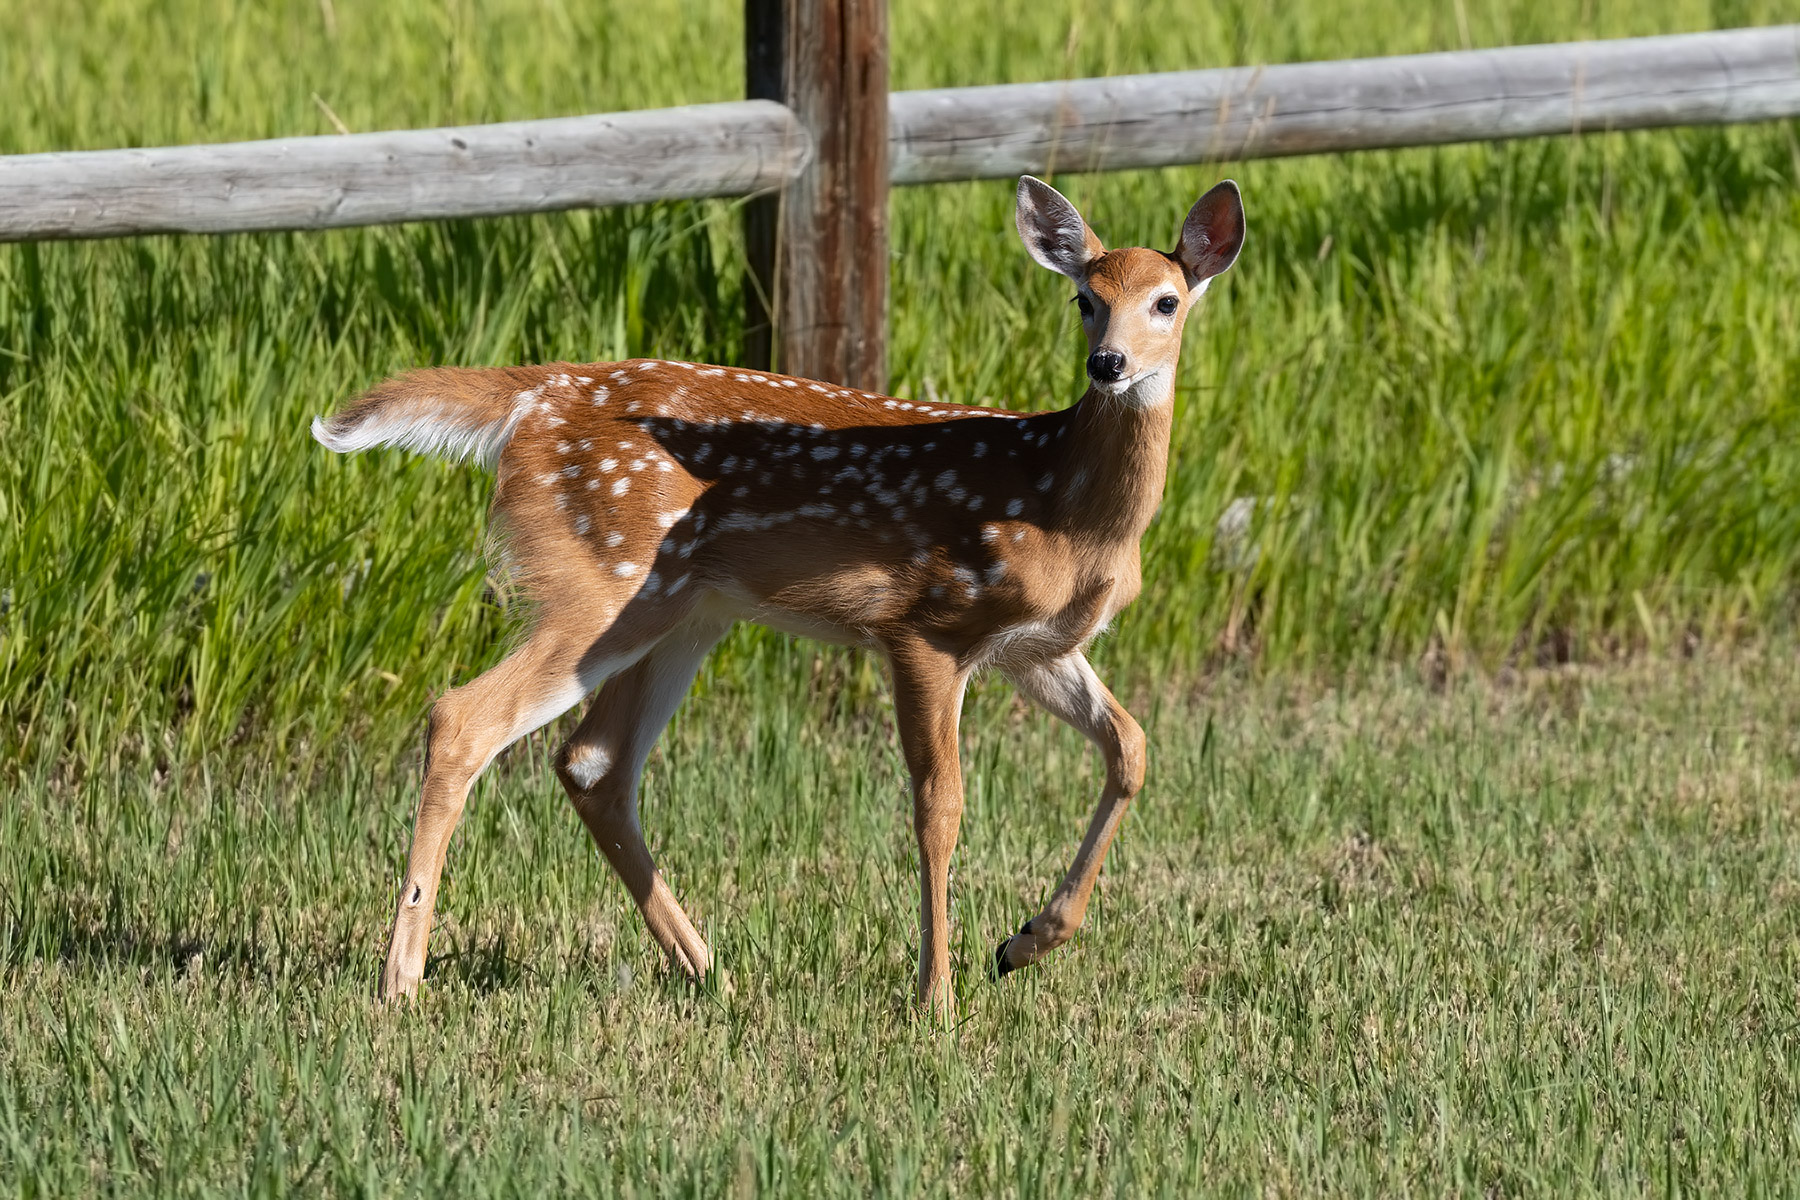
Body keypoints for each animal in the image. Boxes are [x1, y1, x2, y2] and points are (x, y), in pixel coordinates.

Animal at [311, 175, 1245, 1018]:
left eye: (1165, 302)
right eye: (1086, 299)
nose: (1108, 363)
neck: (1065, 505)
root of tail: (535, 397)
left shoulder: (1036, 648)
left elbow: (1131, 747)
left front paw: (1024, 942)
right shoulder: (927, 624)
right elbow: (940, 805)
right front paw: (937, 999)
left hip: (683, 612)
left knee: (591, 761)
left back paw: (704, 966)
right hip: (599, 582)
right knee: (463, 720)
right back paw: (401, 982)